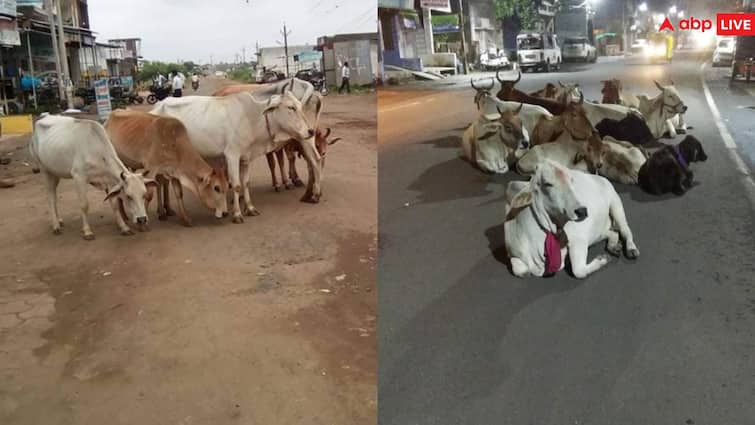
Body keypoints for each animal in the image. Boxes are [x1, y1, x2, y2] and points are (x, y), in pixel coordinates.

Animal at [29, 114, 158, 240]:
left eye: (144, 195)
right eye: (128, 196)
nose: (142, 219)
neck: (98, 153)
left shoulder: (110, 181)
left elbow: (114, 204)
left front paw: (124, 228)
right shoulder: (79, 177)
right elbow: (84, 205)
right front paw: (87, 231)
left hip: (55, 173)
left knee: (54, 196)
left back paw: (59, 220)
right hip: (45, 170)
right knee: (50, 197)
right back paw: (55, 225)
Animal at [152, 88, 318, 222]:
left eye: (300, 106)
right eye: (290, 107)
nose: (311, 131)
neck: (251, 118)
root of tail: (157, 106)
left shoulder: (246, 158)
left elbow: (246, 183)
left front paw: (250, 208)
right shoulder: (232, 155)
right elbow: (237, 185)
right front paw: (237, 214)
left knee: (163, 182)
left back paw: (167, 210)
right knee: (159, 182)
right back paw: (163, 213)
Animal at [504, 159, 640, 278]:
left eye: (571, 180)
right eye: (547, 184)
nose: (582, 211)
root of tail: (600, 177)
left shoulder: (579, 240)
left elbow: (578, 271)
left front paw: (602, 259)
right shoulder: (512, 253)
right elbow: (520, 271)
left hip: (616, 204)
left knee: (625, 230)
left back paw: (631, 249)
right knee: (612, 233)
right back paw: (613, 246)